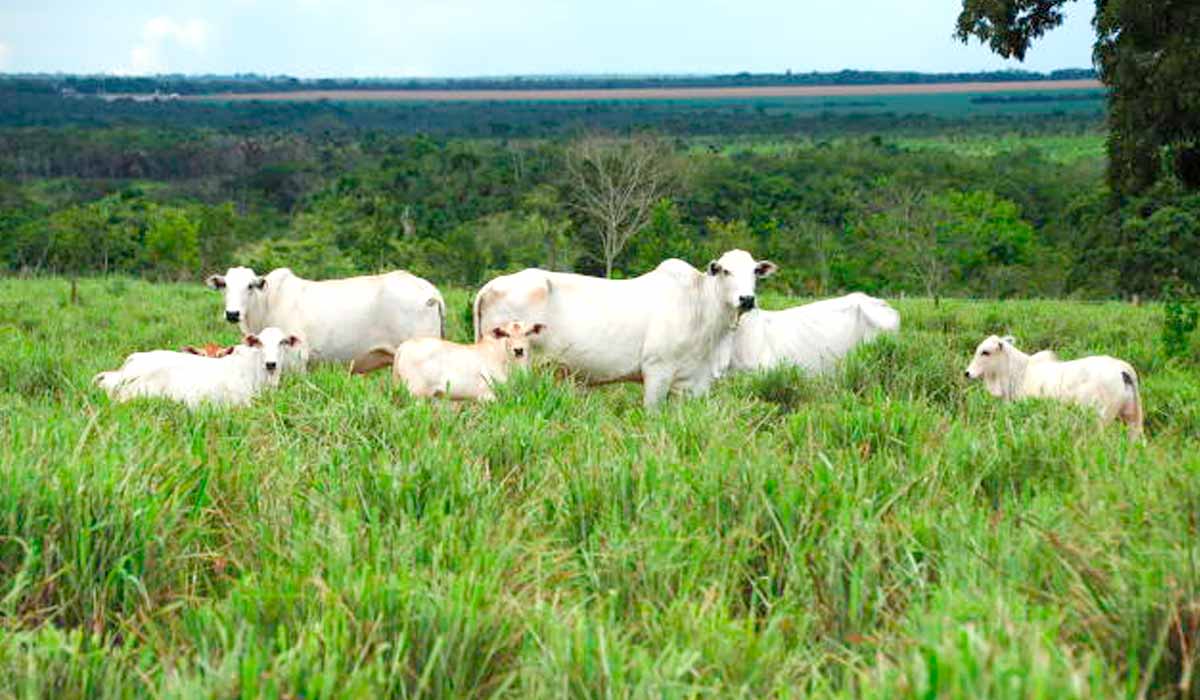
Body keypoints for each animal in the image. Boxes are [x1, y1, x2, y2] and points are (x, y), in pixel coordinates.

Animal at [206, 266, 446, 369]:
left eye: (249, 286)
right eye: (225, 285)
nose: (232, 313)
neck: (267, 302)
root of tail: (431, 290)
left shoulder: (297, 358)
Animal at [352, 321, 547, 403]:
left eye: (528, 333)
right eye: (506, 334)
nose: (519, 350)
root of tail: (404, 347)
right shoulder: (487, 396)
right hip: (416, 394)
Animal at [468, 250, 777, 405]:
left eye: (754, 272)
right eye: (725, 270)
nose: (746, 299)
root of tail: (491, 285)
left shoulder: (694, 383)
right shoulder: (657, 371)